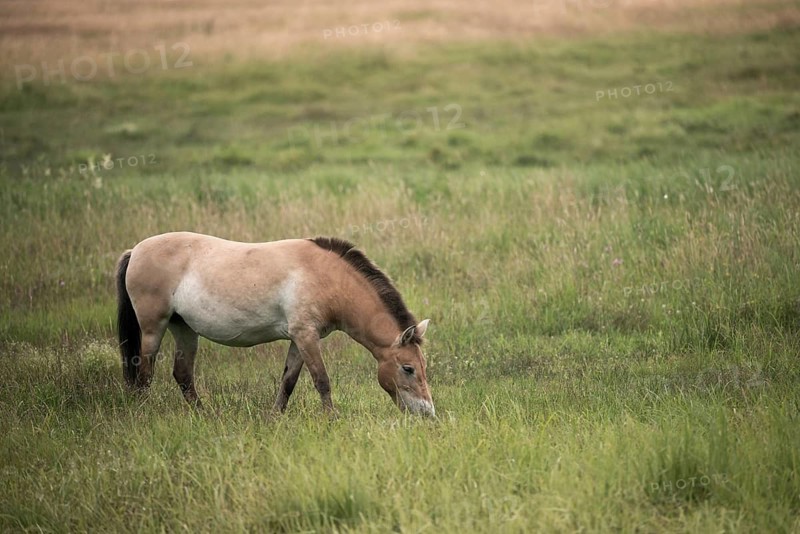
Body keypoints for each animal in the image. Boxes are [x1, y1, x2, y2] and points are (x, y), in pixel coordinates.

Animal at [115, 232, 435, 417]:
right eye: (408, 368)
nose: (427, 413)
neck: (326, 277)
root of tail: (135, 250)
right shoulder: (306, 336)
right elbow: (322, 380)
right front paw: (331, 419)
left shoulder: (298, 339)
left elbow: (288, 381)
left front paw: (275, 417)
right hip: (153, 328)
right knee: (145, 373)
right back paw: (144, 412)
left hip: (184, 329)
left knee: (182, 375)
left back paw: (204, 415)